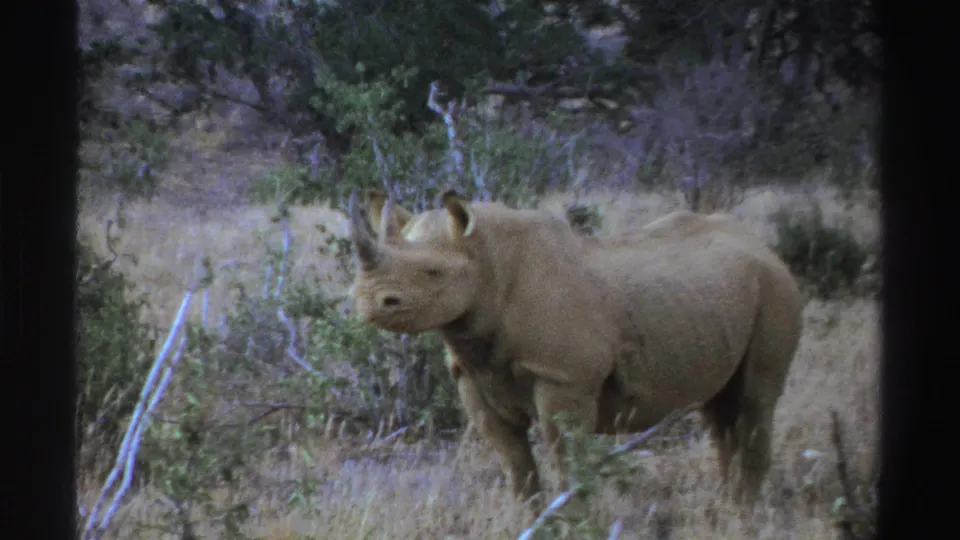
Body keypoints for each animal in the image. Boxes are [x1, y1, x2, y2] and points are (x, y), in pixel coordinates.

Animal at [346, 188, 804, 506]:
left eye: (433, 272)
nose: (369, 301)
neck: (485, 260)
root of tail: (765, 247)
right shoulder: (473, 374)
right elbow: (517, 467)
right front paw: (531, 518)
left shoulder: (564, 378)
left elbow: (565, 458)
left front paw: (573, 519)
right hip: (719, 296)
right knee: (720, 410)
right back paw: (725, 506)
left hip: (776, 288)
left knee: (756, 399)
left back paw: (745, 514)